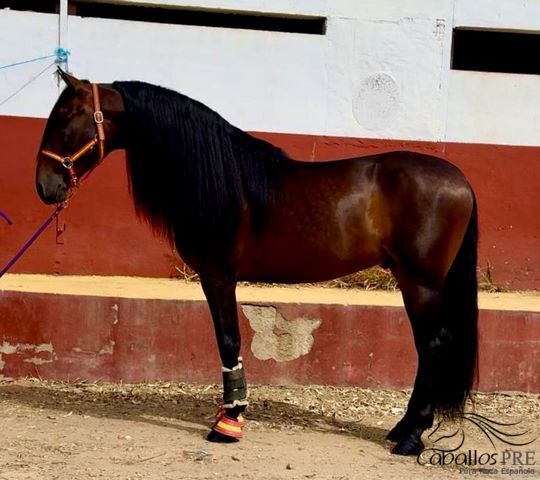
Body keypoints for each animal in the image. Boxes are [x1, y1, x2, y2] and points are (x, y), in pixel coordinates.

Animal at [35, 69, 478, 456]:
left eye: (66, 116)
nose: (44, 186)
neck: (222, 179)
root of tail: (460, 179)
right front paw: (227, 411)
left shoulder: (218, 276)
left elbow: (229, 340)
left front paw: (229, 422)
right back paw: (402, 429)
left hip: (421, 282)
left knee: (433, 345)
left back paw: (412, 436)